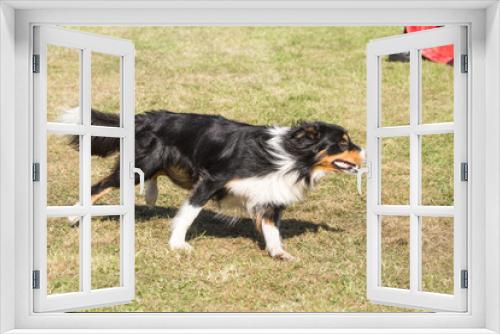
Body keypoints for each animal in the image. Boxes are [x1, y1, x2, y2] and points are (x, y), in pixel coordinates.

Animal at [67, 109, 364, 260]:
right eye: (343, 143)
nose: (365, 151)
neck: (291, 156)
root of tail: (143, 117)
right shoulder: (211, 180)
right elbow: (188, 214)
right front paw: (178, 244)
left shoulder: (269, 195)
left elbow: (271, 229)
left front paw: (279, 253)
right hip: (143, 163)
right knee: (99, 186)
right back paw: (73, 216)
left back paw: (151, 194)